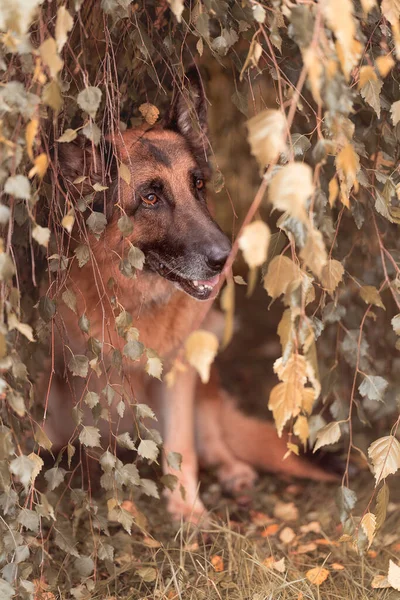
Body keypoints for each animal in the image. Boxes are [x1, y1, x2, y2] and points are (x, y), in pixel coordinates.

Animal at [39, 69, 334, 520]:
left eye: (198, 184)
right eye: (150, 197)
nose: (225, 259)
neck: (131, 301)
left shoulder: (177, 375)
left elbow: (182, 447)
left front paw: (187, 511)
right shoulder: (74, 380)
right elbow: (87, 449)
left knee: (210, 442)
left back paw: (231, 472)